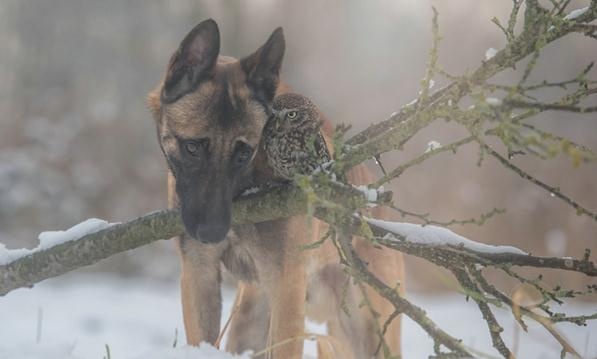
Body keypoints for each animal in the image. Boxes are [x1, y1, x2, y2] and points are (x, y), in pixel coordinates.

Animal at [146, 19, 402, 358]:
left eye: (244, 153)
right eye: (192, 148)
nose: (212, 233)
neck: (248, 183)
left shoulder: (286, 287)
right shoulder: (199, 274)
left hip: (367, 334)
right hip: (250, 323)